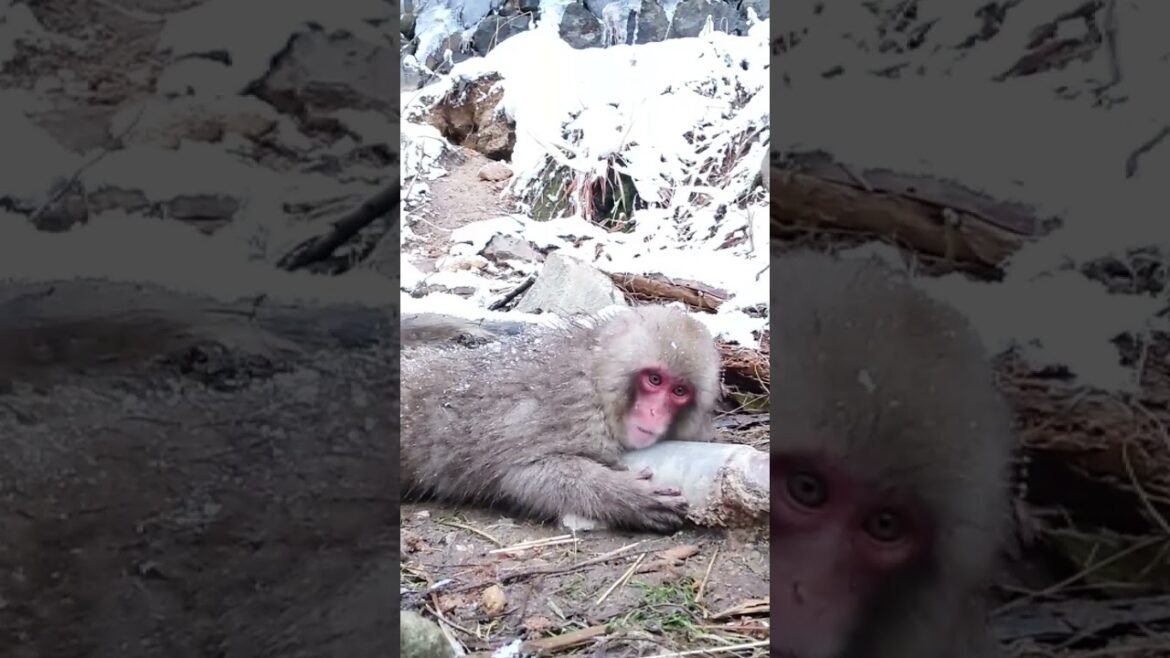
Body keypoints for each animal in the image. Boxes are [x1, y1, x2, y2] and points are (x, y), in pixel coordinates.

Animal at [400, 305, 723, 533]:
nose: (654, 412)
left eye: (679, 391)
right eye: (654, 379)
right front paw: (626, 496)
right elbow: (522, 476)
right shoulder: (571, 411)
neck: (596, 377)